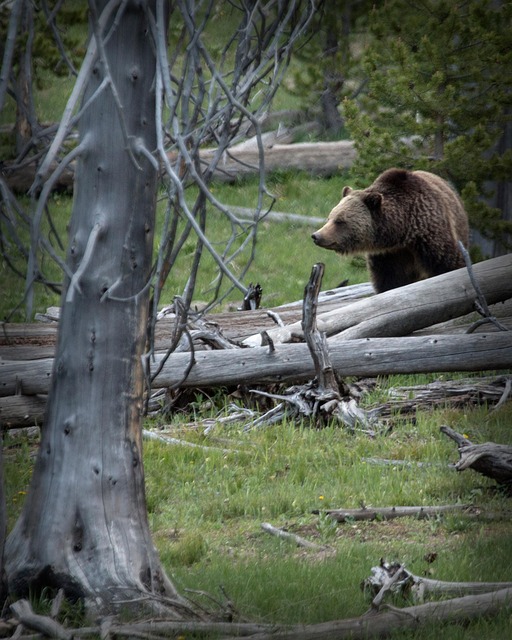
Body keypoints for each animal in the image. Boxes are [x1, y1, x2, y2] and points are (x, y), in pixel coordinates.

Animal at [311, 168, 470, 293]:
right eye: (329, 218)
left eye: (340, 221)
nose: (316, 236)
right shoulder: (387, 255)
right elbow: (389, 281)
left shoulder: (430, 234)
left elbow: (448, 264)